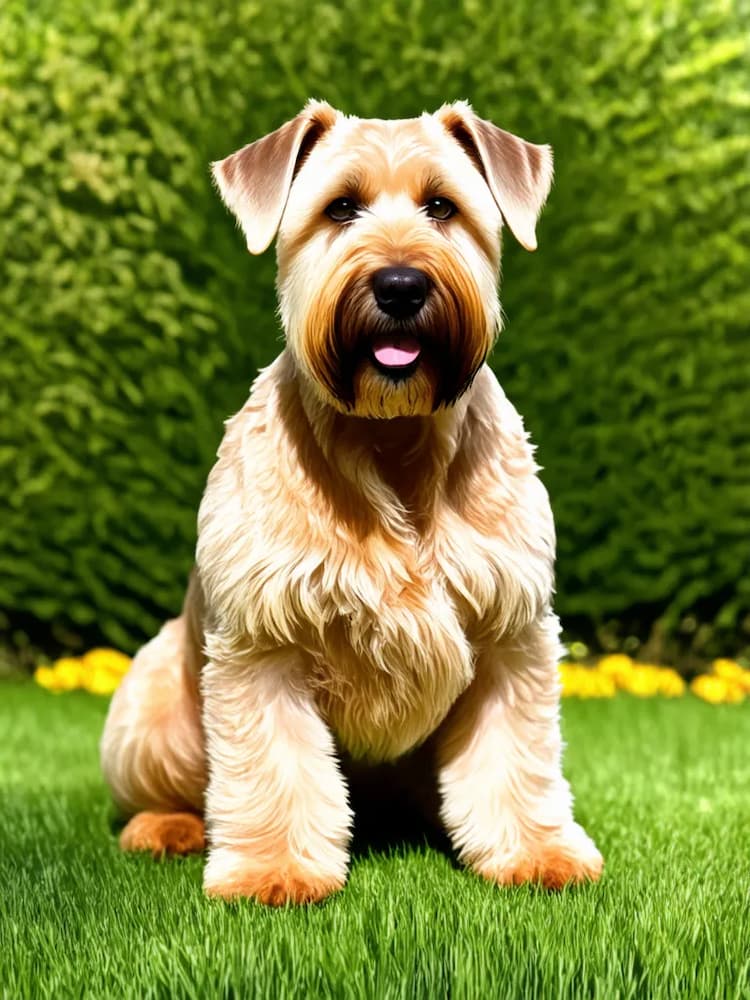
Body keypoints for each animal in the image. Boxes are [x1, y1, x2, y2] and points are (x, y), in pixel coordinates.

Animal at [100, 97, 604, 904]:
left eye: (442, 206)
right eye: (340, 208)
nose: (400, 285)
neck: (390, 444)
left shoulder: (511, 636)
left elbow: (515, 760)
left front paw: (536, 852)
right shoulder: (262, 641)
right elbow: (274, 766)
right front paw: (273, 870)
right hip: (151, 714)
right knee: (169, 792)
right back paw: (165, 829)